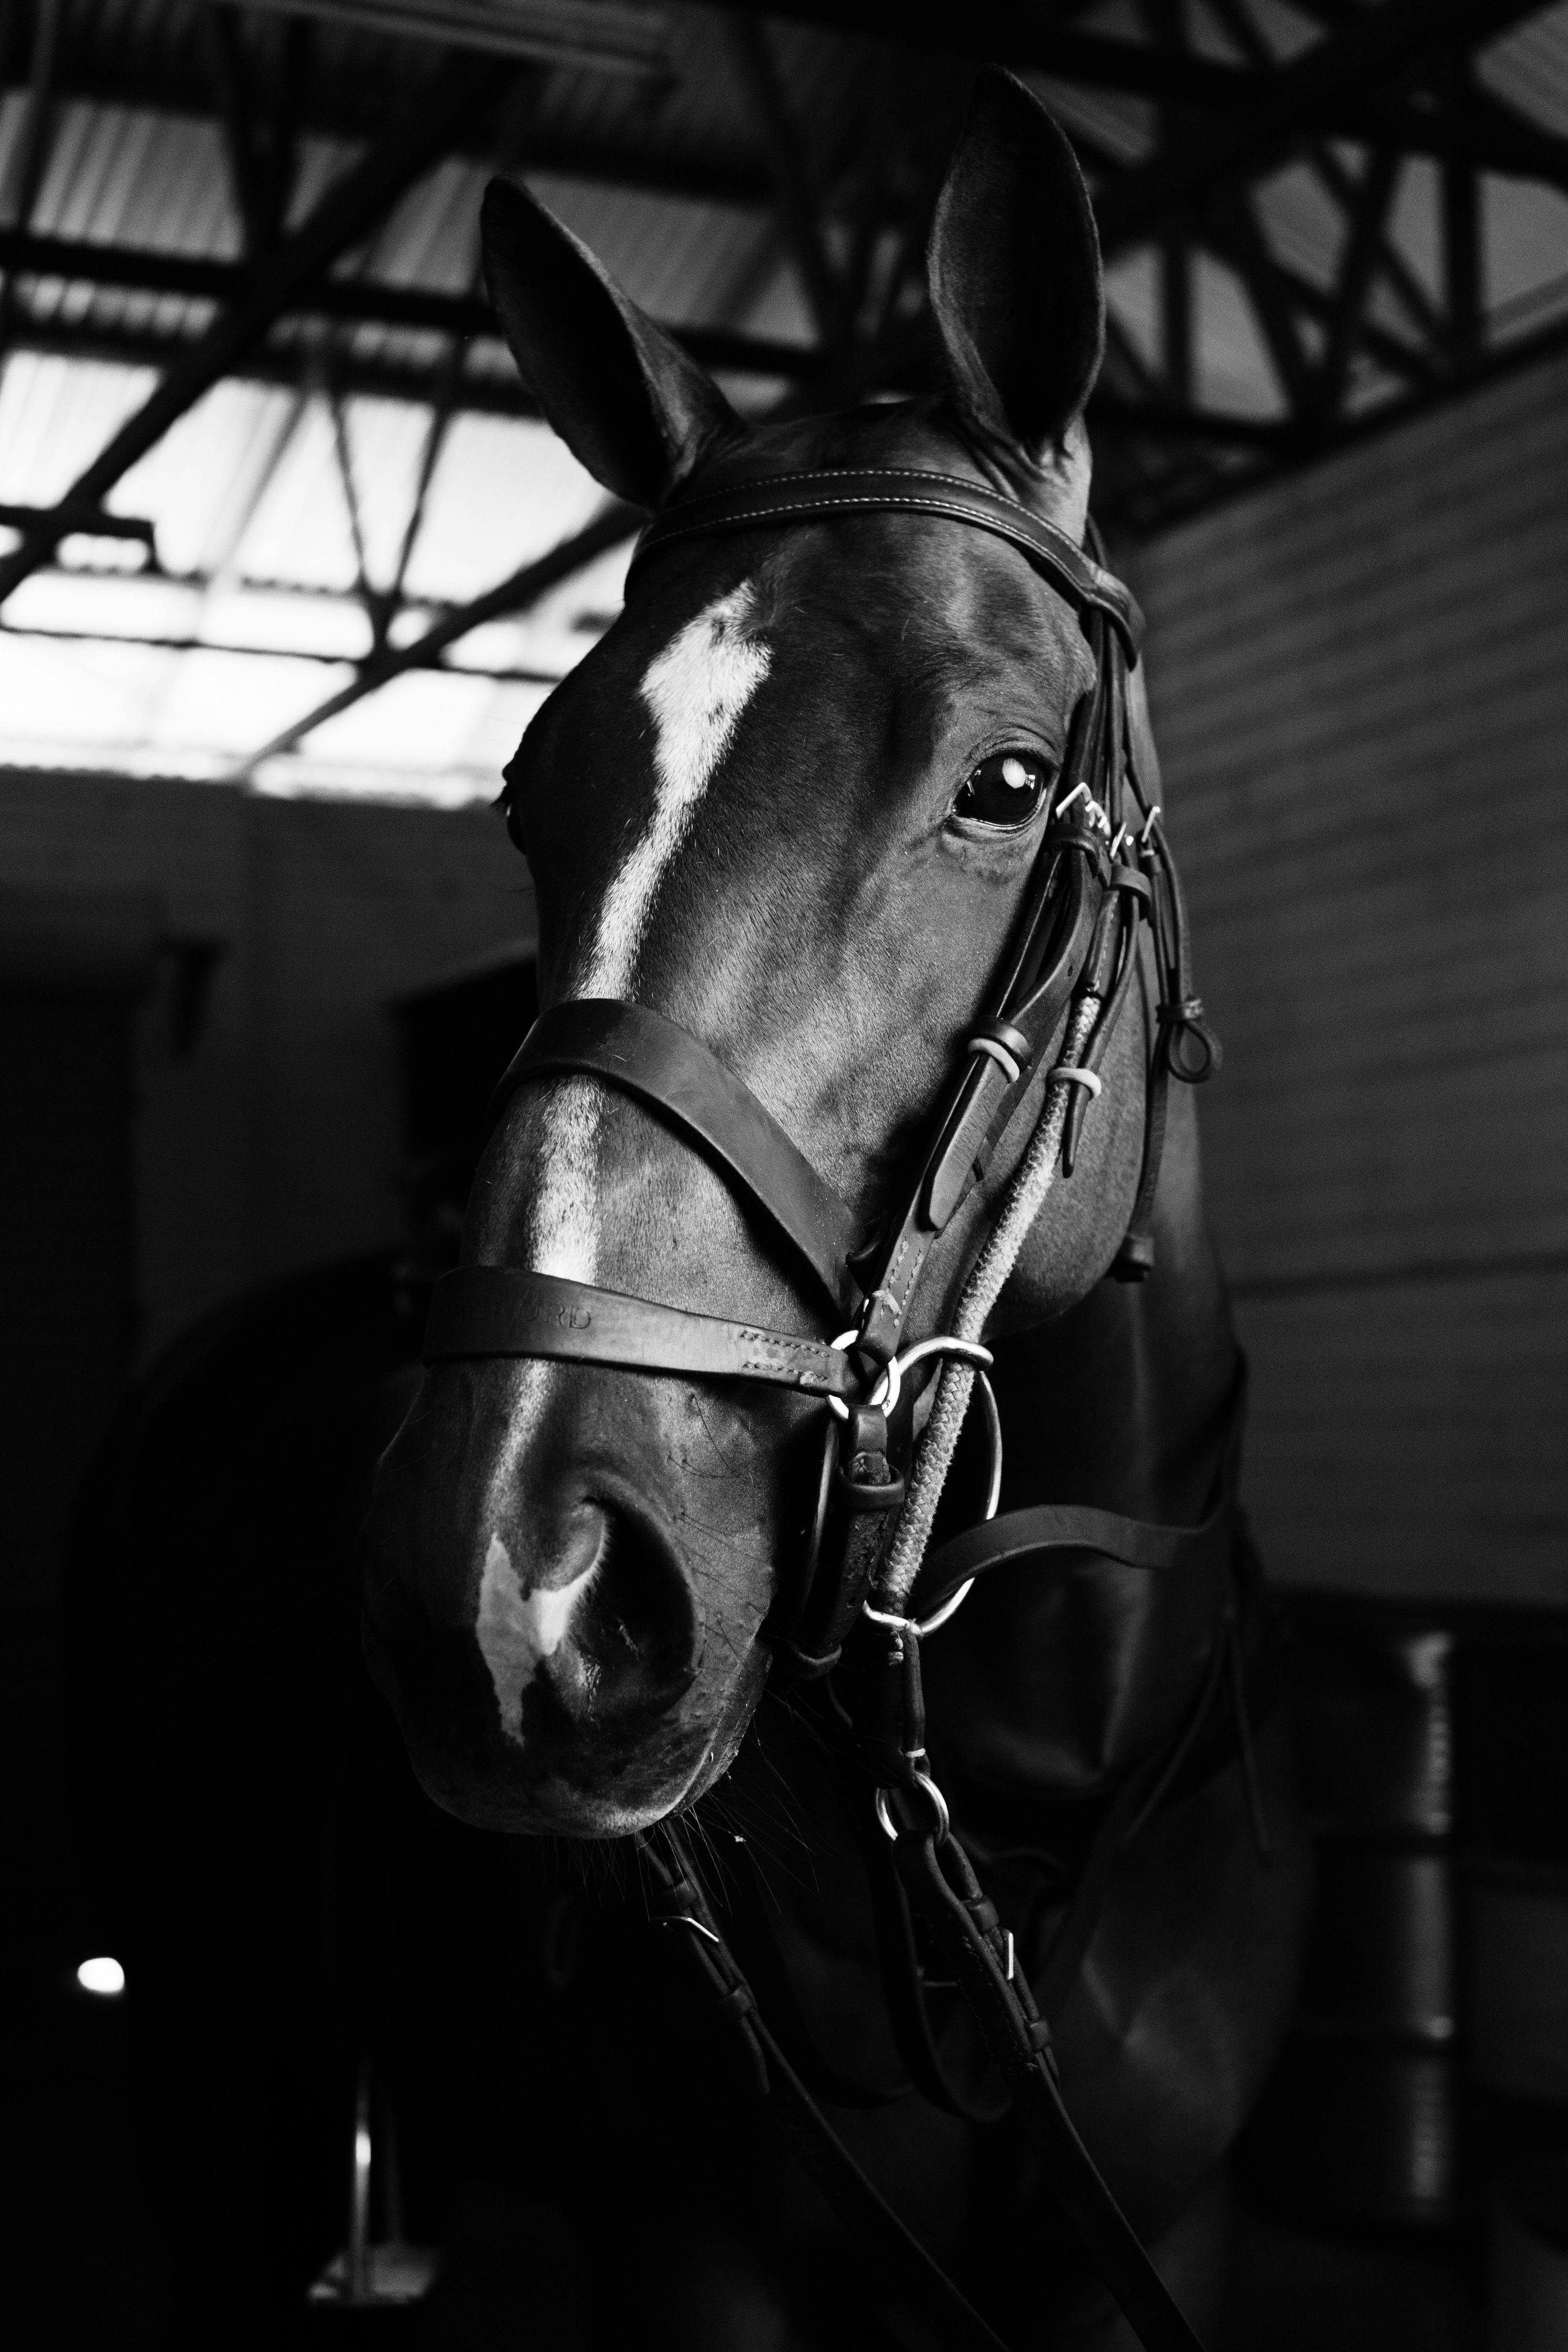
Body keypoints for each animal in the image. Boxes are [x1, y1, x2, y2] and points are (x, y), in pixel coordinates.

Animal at [365, 71, 1311, 2352]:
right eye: (529, 793)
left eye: (1003, 785)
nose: (507, 1583)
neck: (1029, 1795)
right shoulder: (694, 2254)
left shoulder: (1173, 2238)